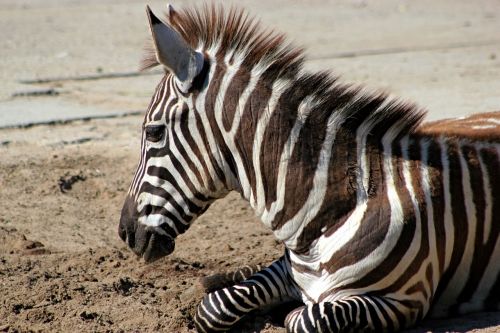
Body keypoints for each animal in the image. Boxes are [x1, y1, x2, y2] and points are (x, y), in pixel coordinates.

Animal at [118, 3, 500, 330]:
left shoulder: (403, 300)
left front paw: (283, 311)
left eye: (153, 132)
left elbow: (304, 318)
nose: (125, 232)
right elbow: (214, 307)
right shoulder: (287, 270)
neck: (329, 211)